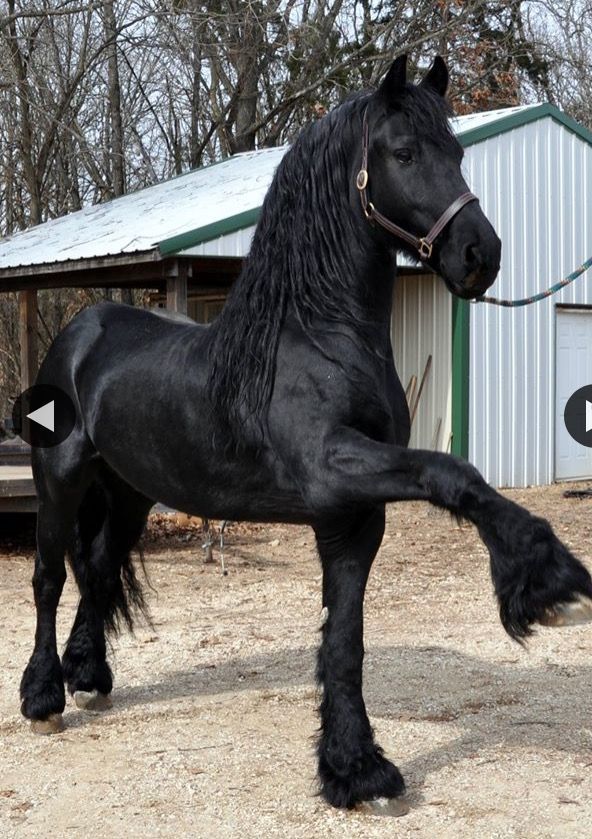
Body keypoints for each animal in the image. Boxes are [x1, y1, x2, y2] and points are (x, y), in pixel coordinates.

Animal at [20, 55, 592, 812]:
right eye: (404, 152)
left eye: (459, 153)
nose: (481, 254)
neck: (318, 335)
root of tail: (82, 331)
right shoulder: (331, 467)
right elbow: (452, 472)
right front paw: (547, 578)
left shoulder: (352, 515)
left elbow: (345, 640)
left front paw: (355, 770)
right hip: (60, 479)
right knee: (51, 576)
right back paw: (43, 697)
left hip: (130, 492)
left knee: (98, 568)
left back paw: (89, 676)